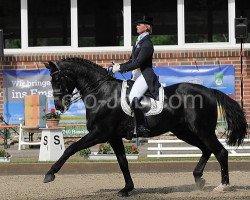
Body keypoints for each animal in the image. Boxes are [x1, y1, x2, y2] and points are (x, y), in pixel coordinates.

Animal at [44, 57, 247, 196]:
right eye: (51, 81)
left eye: (58, 79)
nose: (59, 106)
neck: (101, 93)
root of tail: (210, 91)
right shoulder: (113, 137)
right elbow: (123, 162)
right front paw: (127, 188)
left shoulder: (99, 133)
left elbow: (70, 149)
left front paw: (50, 174)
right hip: (184, 131)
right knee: (206, 150)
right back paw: (199, 178)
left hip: (202, 130)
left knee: (220, 152)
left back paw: (222, 186)